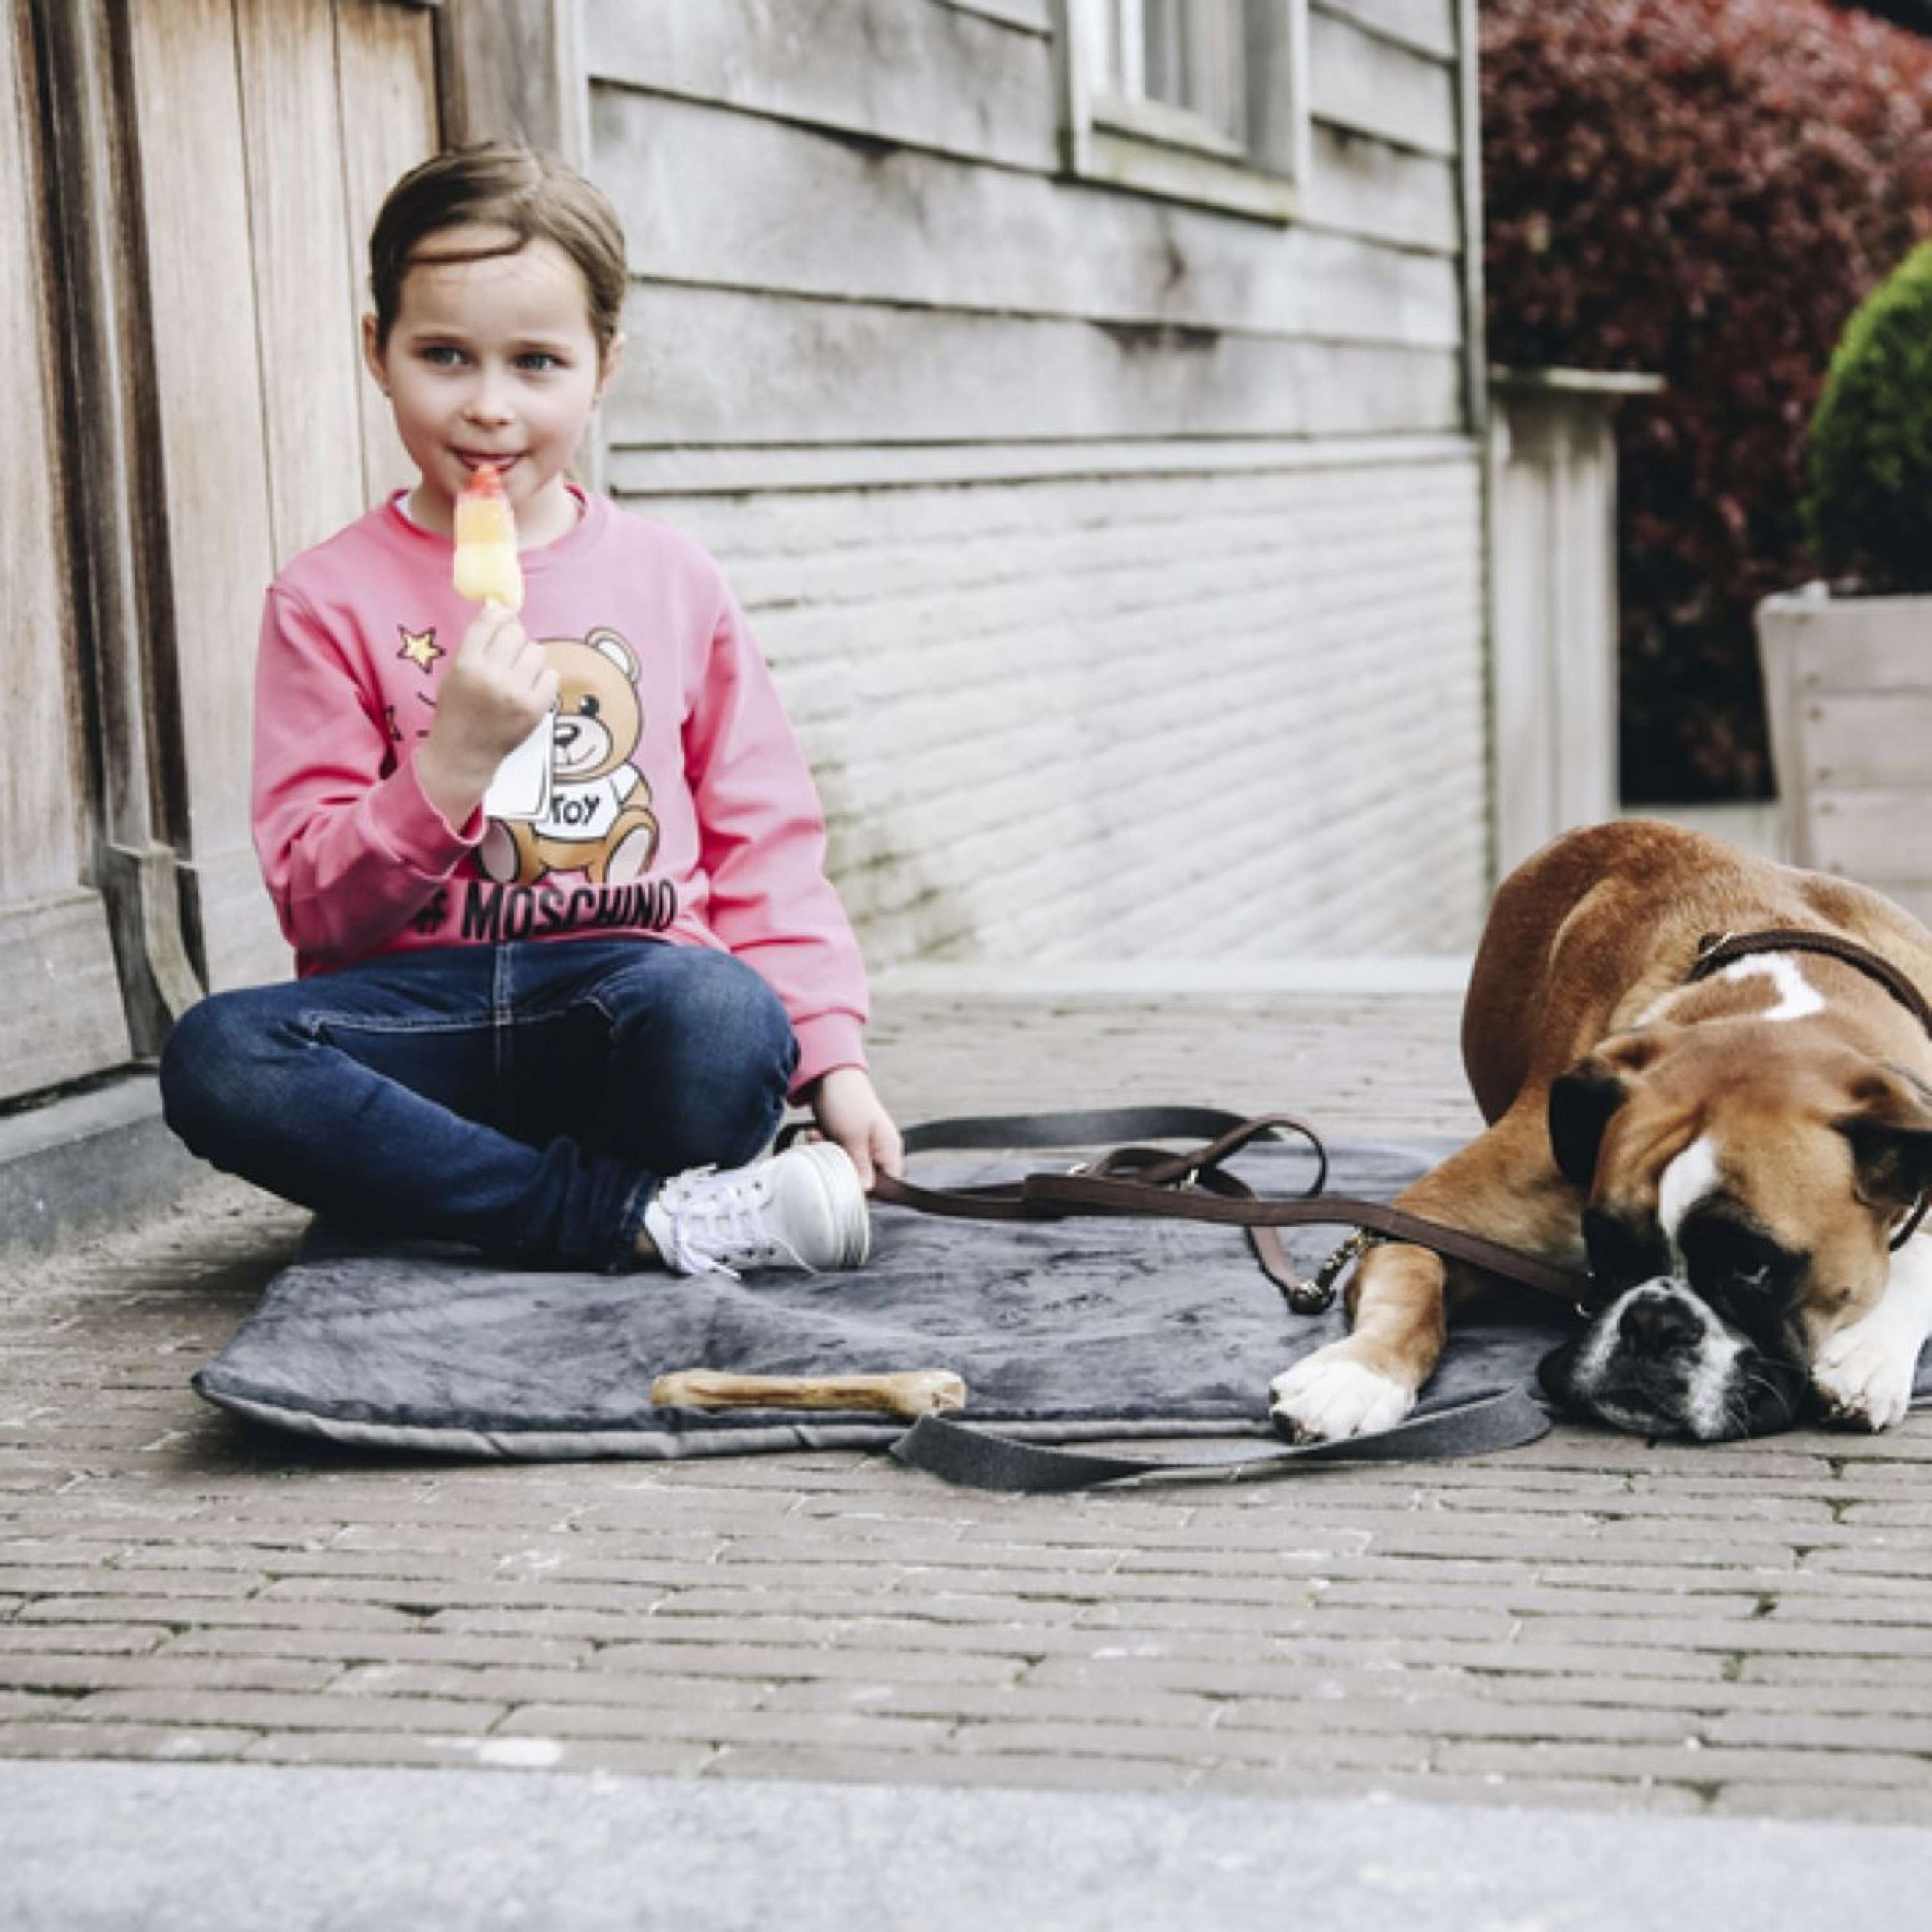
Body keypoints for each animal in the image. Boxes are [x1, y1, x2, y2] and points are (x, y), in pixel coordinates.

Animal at [1267, 823, 1932, 1445]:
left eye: (1753, 1268)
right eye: (1604, 1244)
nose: (1653, 1323)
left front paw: (1869, 1354)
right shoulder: (1425, 1221)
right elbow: (1411, 1289)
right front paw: (1354, 1372)